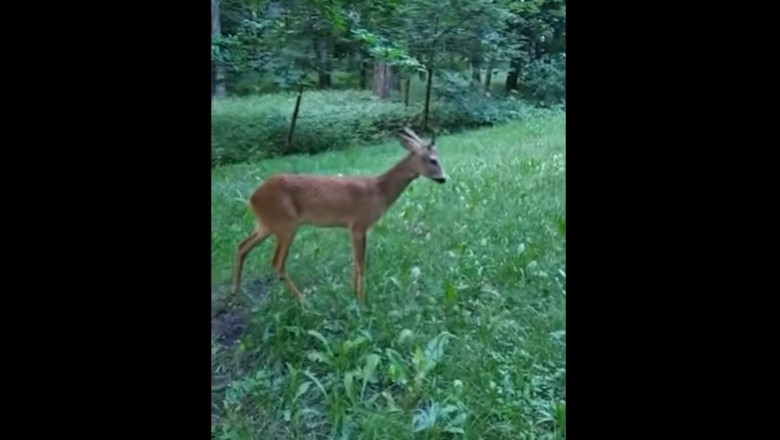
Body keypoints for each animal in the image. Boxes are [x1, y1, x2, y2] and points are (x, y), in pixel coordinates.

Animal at [230, 126, 444, 306]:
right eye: (433, 160)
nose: (443, 178)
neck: (379, 192)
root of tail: (252, 198)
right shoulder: (358, 224)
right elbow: (361, 264)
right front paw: (361, 301)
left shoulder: (355, 227)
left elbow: (355, 262)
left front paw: (352, 294)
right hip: (286, 224)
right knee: (277, 263)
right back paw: (303, 301)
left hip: (266, 224)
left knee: (242, 246)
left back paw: (235, 293)